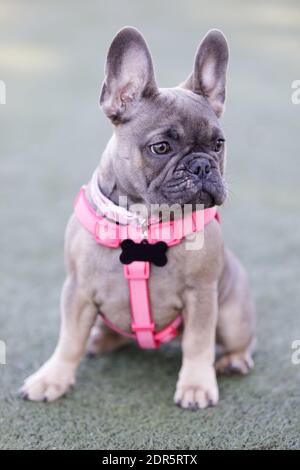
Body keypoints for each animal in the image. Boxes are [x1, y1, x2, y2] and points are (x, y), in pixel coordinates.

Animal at [20, 27, 255, 410]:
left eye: (218, 144)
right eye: (160, 147)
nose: (202, 166)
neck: (144, 226)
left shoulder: (201, 295)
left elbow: (198, 343)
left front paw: (196, 386)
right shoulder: (78, 291)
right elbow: (69, 339)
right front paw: (52, 378)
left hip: (233, 314)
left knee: (237, 340)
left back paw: (234, 360)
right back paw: (99, 341)